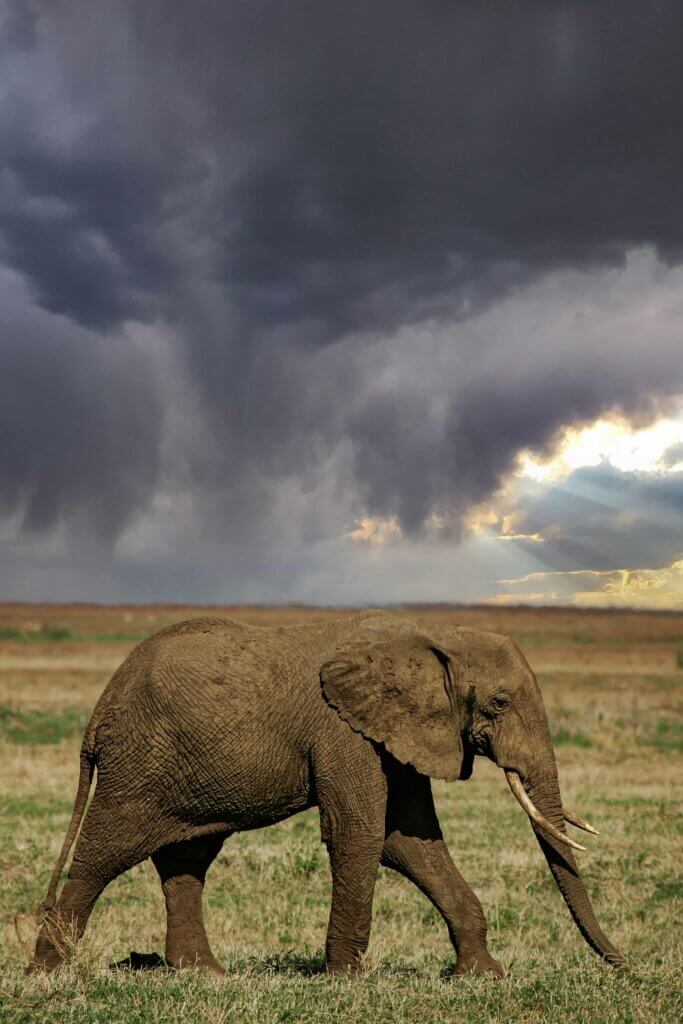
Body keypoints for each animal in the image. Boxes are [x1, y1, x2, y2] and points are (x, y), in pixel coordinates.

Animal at [29, 606, 622, 974]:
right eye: (498, 704)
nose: (622, 964)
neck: (432, 633)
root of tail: (100, 708)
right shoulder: (344, 732)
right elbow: (359, 833)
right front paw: (345, 978)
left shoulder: (394, 733)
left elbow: (410, 840)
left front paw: (482, 975)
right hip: (136, 765)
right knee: (102, 855)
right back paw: (49, 976)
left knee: (187, 859)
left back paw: (208, 975)